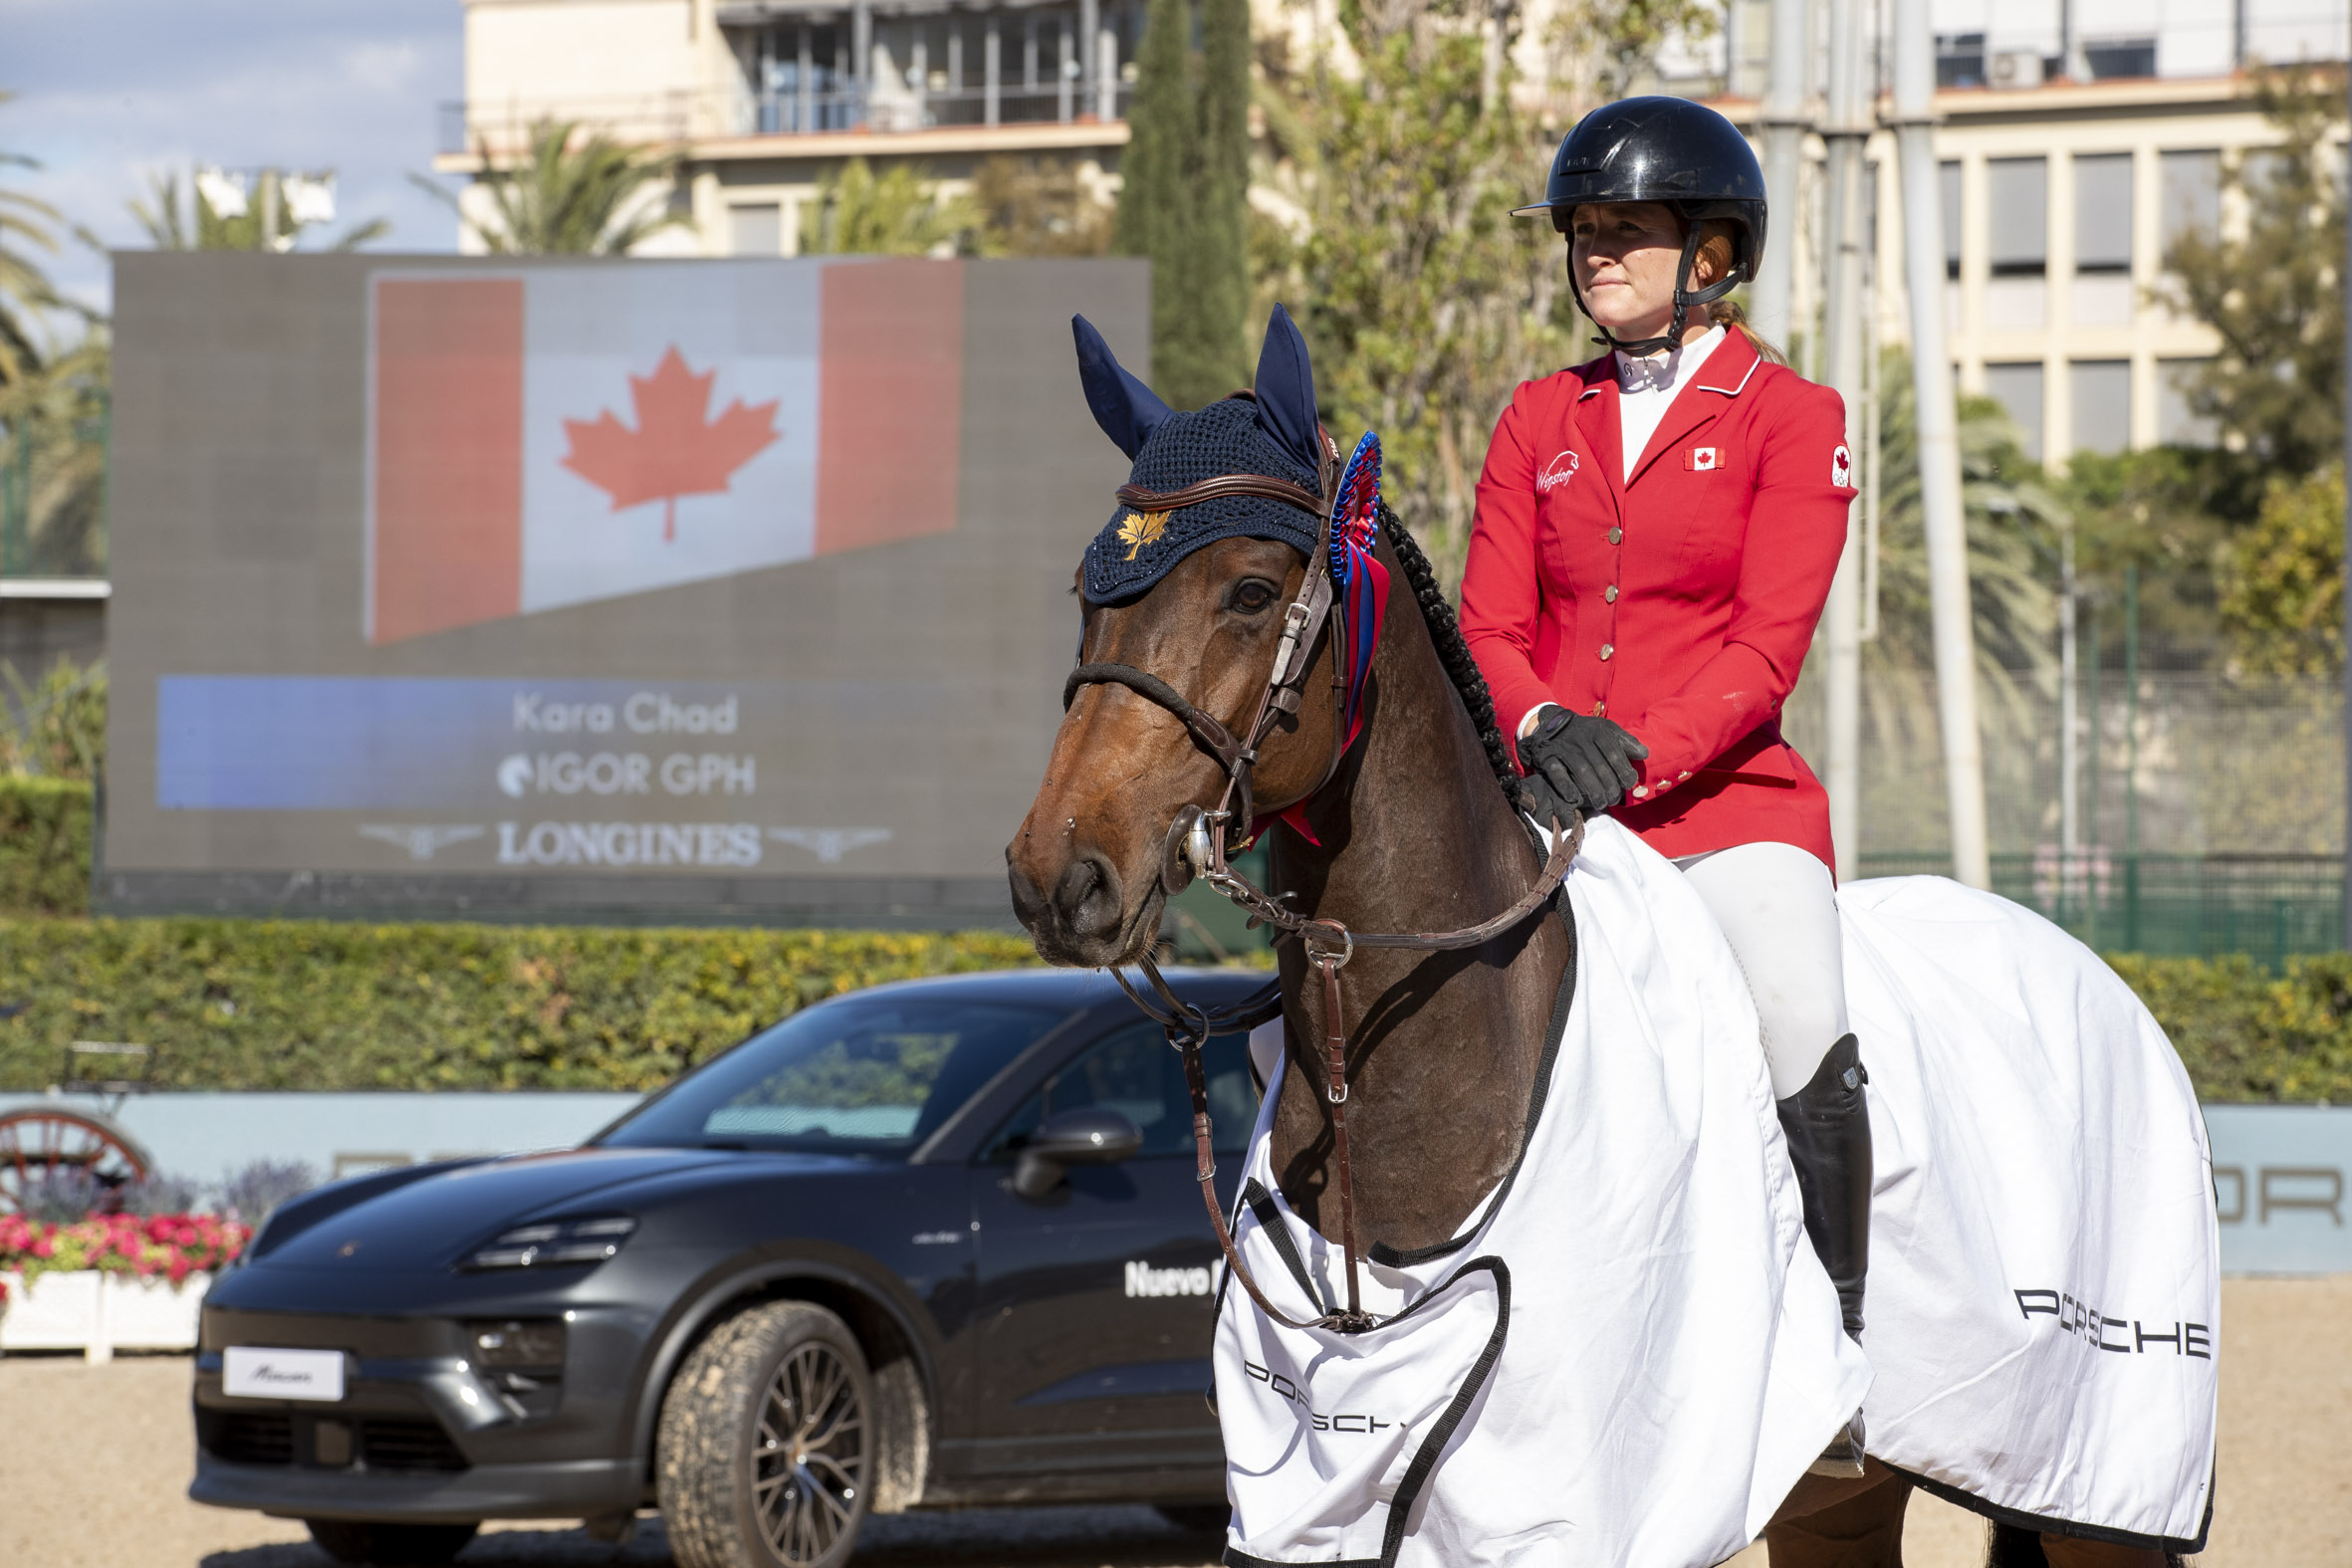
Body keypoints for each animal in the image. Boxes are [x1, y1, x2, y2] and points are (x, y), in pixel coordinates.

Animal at [1002, 310, 2192, 1568]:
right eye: (1087, 588)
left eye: (1246, 589)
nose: (1056, 875)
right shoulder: (1312, 1508)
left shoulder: (1571, 1503)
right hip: (1839, 1501)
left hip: (2104, 1478)